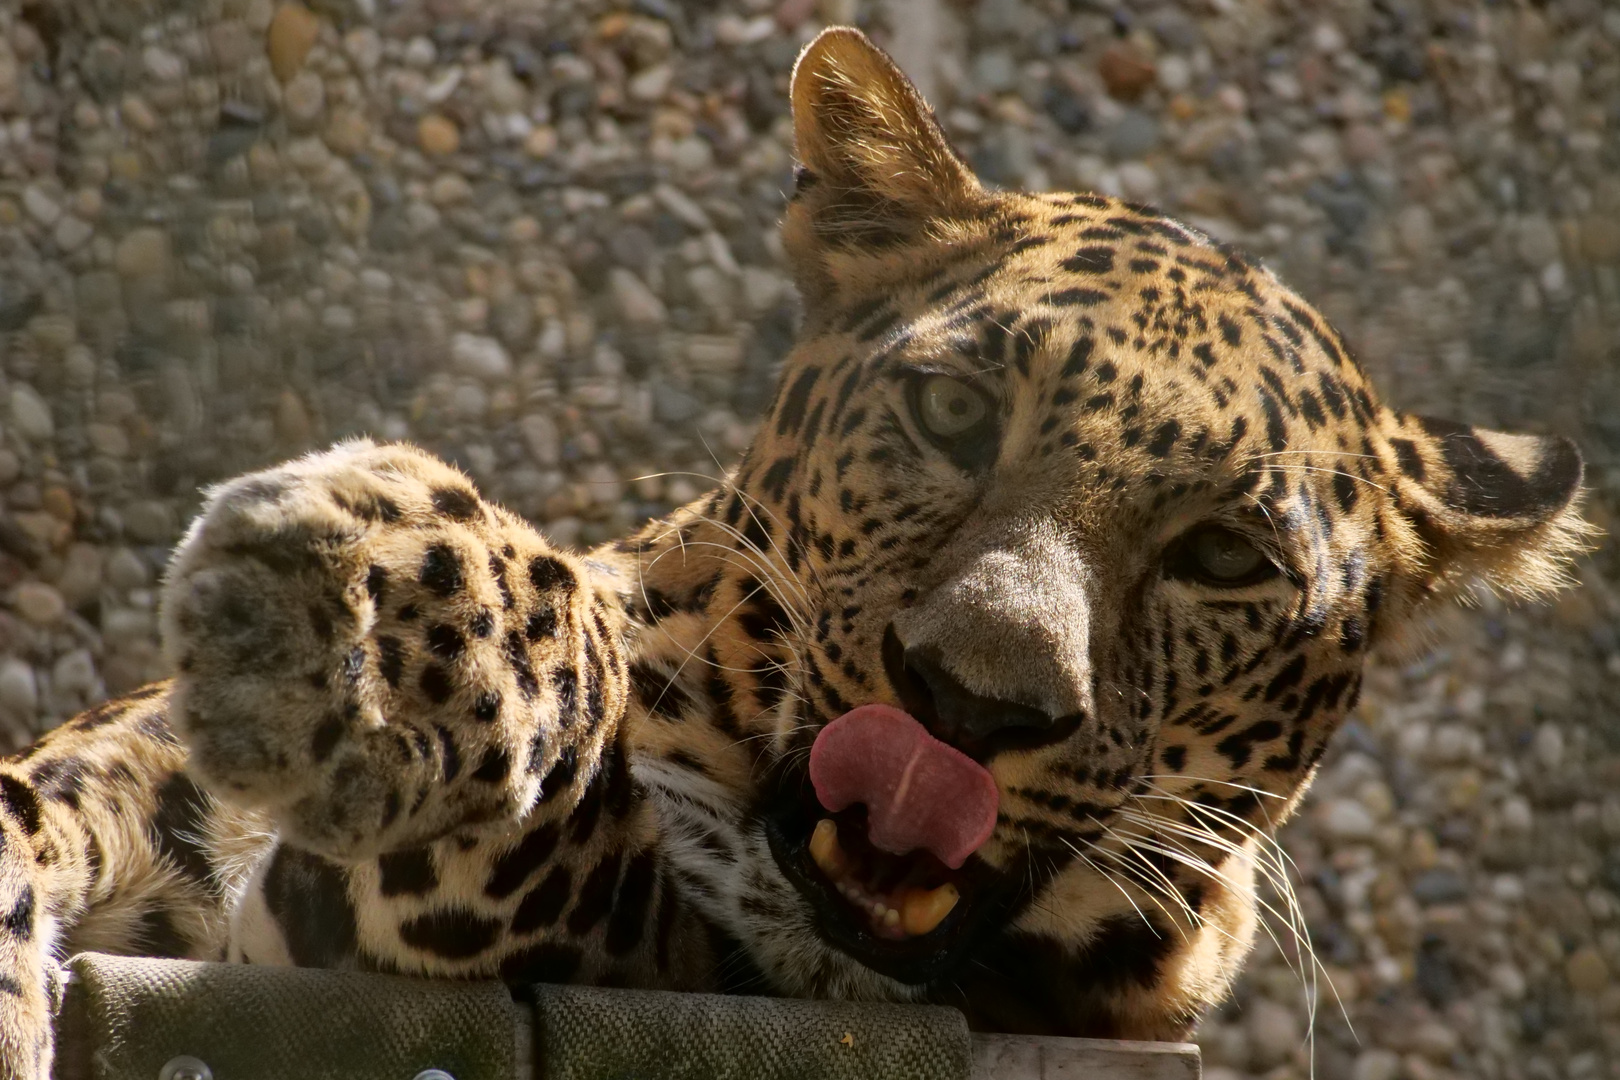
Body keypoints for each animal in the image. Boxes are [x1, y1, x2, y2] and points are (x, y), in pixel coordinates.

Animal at [0, 27, 1587, 1080]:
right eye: (953, 413)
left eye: (1223, 558)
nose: (967, 705)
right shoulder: (125, 780)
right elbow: (27, 817)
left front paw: (378, 638)